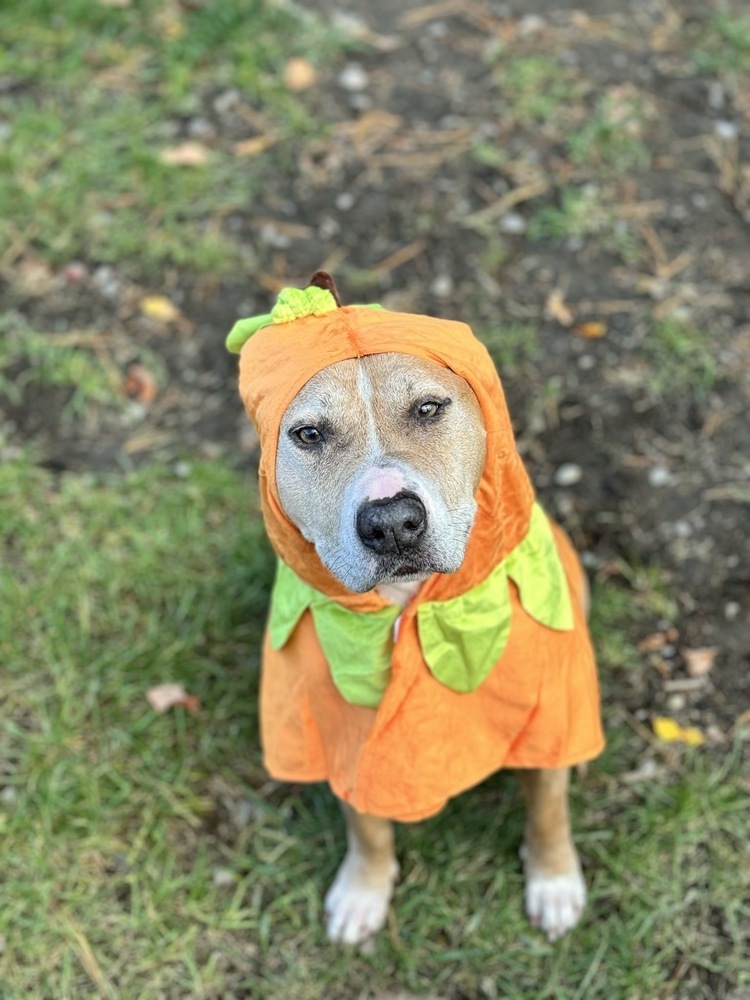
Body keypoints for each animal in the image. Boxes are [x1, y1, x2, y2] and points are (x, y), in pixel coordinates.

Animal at [229, 272, 604, 944]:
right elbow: (366, 824)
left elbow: (548, 806)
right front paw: (364, 889)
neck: (412, 605)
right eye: (309, 434)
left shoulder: (549, 711)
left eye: (428, 408)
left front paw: (555, 880)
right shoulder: (343, 737)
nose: (391, 523)